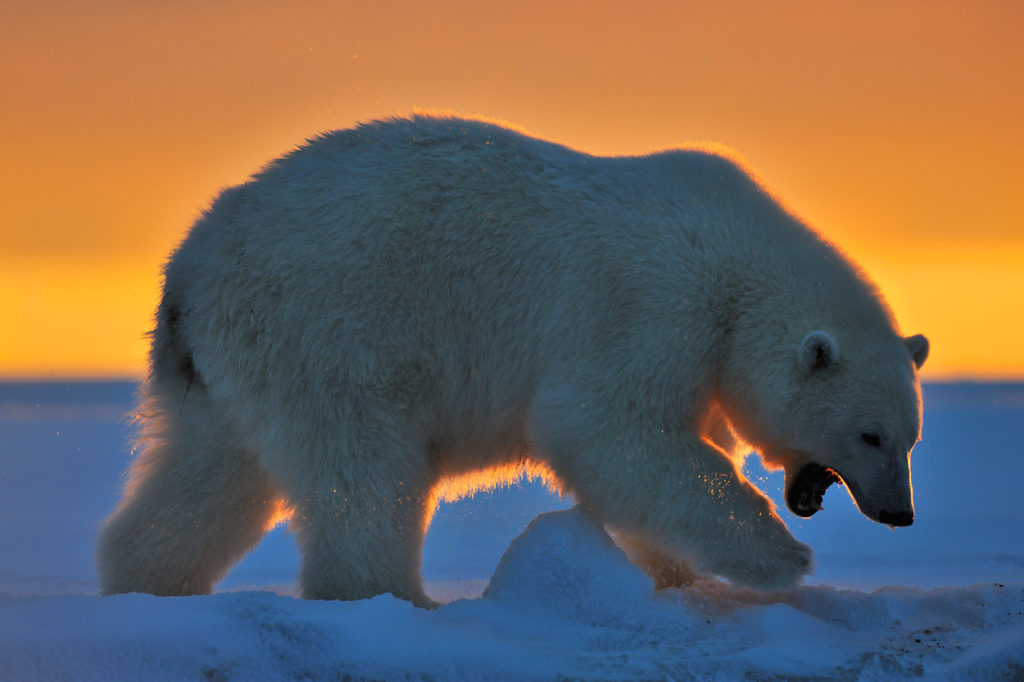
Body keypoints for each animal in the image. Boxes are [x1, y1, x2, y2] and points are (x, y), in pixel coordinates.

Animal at [96, 114, 929, 602]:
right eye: (871, 435)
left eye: (910, 439)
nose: (899, 513)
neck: (739, 264)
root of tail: (189, 274)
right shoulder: (653, 305)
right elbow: (606, 429)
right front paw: (783, 558)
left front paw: (672, 573)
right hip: (325, 337)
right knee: (364, 477)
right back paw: (395, 599)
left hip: (228, 373)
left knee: (210, 477)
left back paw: (146, 584)